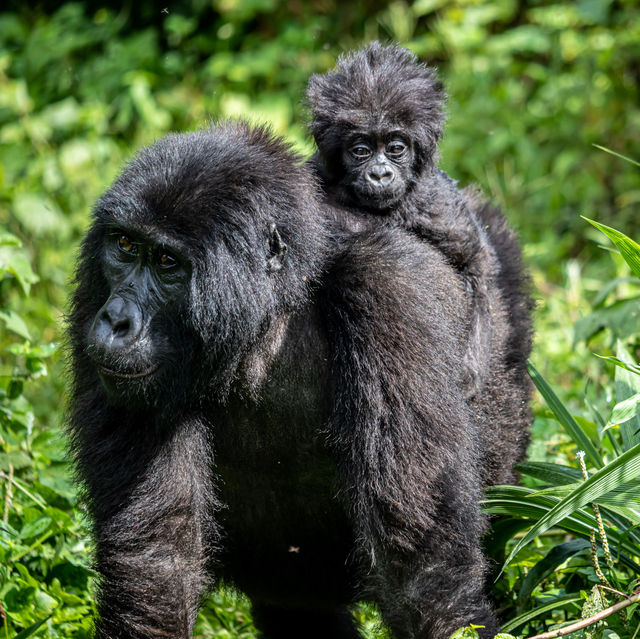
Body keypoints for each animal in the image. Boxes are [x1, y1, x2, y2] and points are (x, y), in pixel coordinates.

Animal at [69, 121, 528, 639]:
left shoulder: (389, 286)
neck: (275, 311)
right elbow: (157, 558)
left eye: (167, 263)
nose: (116, 321)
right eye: (125, 247)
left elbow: (422, 568)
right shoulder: (93, 287)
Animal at [308, 41, 532, 400]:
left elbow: (478, 262)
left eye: (396, 148)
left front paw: (471, 366)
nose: (380, 174)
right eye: (360, 151)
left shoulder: (439, 204)